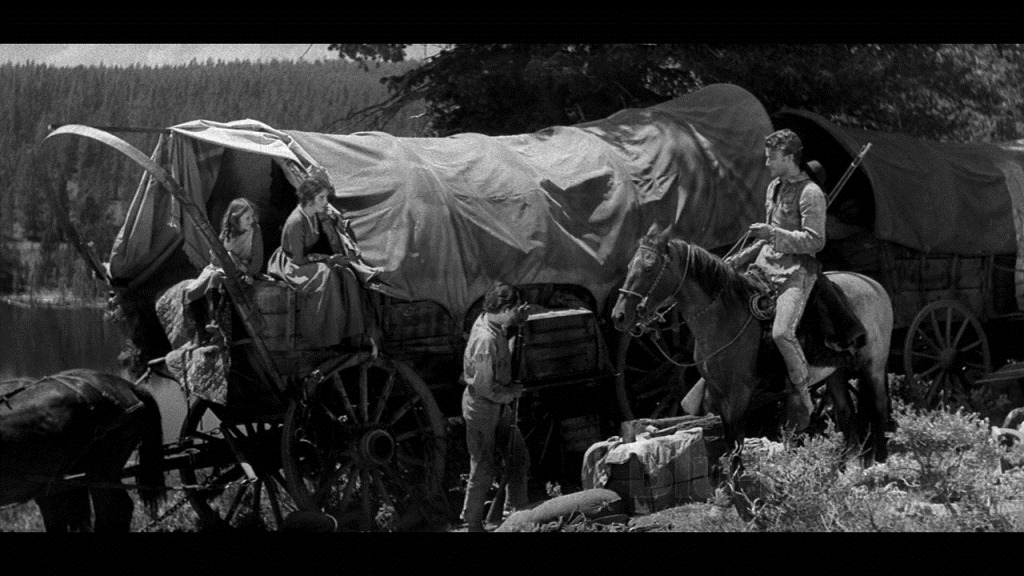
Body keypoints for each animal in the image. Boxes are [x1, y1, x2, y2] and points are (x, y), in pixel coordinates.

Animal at [611, 226, 893, 468]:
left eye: (649, 268)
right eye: (630, 266)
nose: (619, 316)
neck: (723, 320)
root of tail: (876, 286)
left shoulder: (740, 394)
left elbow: (737, 443)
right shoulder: (719, 394)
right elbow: (729, 441)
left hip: (874, 367)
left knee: (878, 407)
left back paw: (879, 462)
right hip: (835, 372)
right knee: (846, 414)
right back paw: (850, 468)